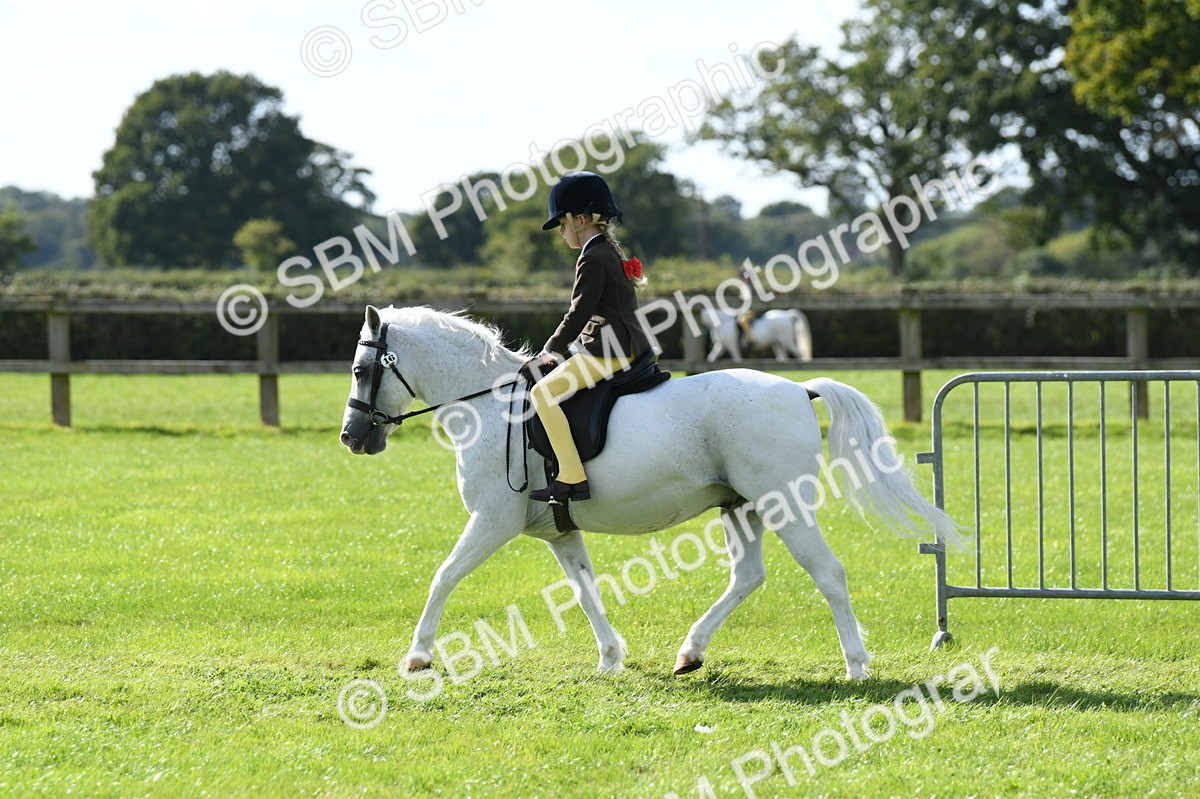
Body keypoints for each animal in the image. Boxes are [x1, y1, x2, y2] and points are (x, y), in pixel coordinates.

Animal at [339, 305, 962, 680]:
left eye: (361, 370)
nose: (351, 437)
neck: (491, 407)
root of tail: (797, 388)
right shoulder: (558, 532)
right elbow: (584, 589)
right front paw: (610, 657)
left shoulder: (493, 520)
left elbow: (444, 575)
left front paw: (417, 656)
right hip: (741, 507)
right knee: (748, 576)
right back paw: (691, 651)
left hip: (783, 504)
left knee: (827, 572)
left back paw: (856, 664)